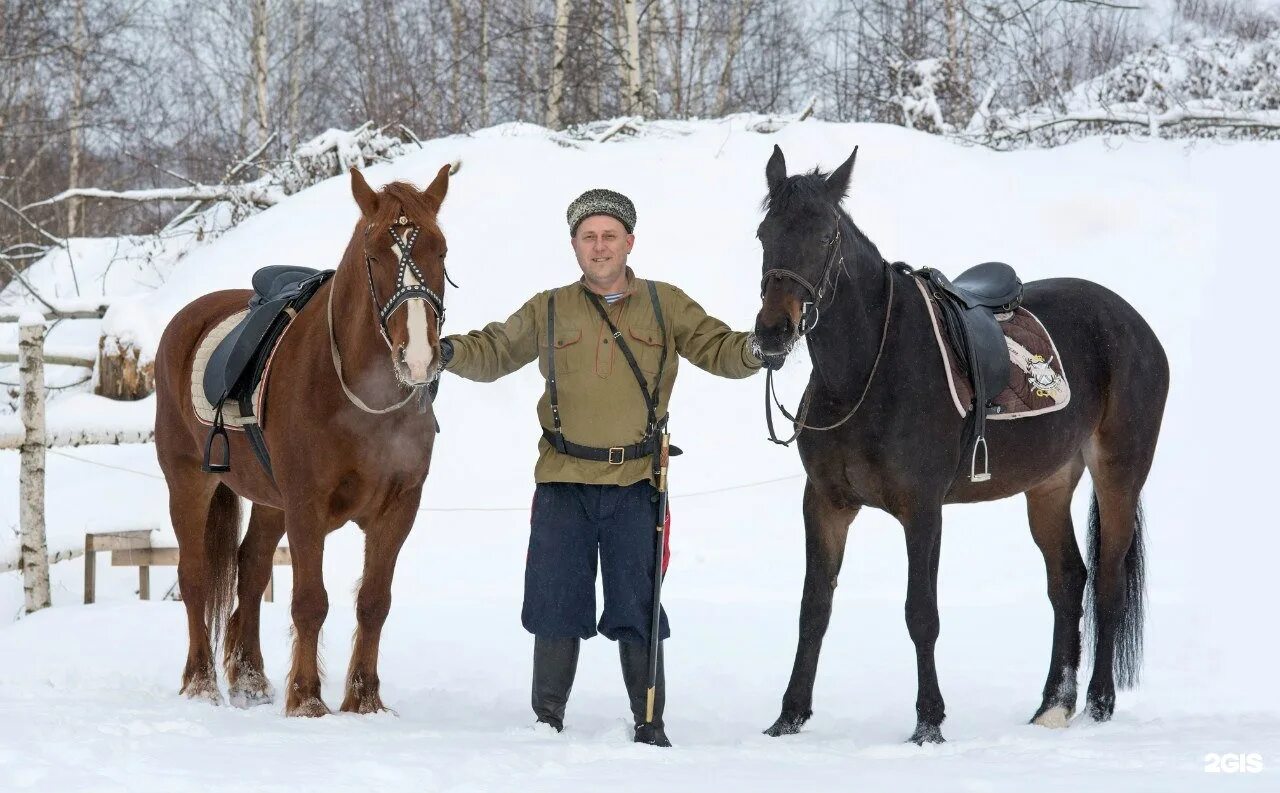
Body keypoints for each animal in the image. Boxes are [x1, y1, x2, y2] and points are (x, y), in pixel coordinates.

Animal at [152, 163, 453, 716]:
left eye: (440, 250)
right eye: (374, 255)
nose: (419, 358)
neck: (357, 395)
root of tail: (189, 318)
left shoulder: (399, 507)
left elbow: (374, 602)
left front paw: (364, 700)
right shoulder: (307, 505)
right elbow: (311, 602)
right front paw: (308, 699)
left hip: (271, 500)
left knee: (250, 568)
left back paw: (250, 679)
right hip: (189, 481)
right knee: (196, 576)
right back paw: (202, 682)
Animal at [747, 145, 1172, 746]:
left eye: (827, 237)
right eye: (764, 234)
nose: (773, 332)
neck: (869, 371)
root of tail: (1132, 321)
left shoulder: (923, 509)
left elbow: (921, 614)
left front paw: (928, 723)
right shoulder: (826, 503)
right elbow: (814, 608)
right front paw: (789, 718)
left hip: (1119, 472)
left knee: (1107, 582)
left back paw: (1099, 703)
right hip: (1048, 484)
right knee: (1068, 581)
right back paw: (1053, 706)